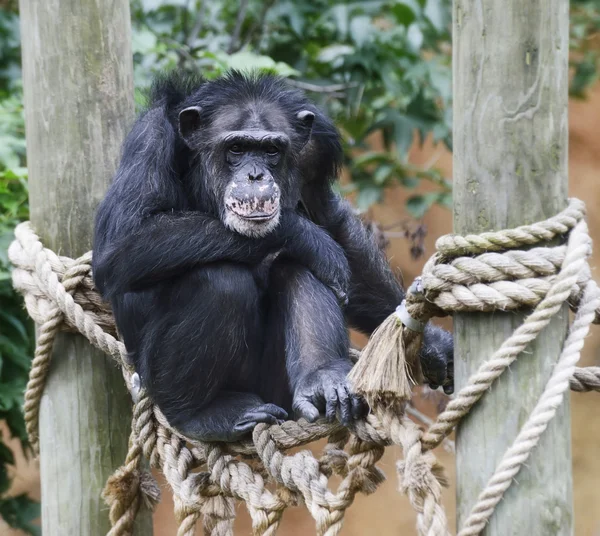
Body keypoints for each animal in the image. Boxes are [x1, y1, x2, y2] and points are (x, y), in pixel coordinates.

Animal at [91, 69, 452, 442]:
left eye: (271, 150)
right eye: (236, 147)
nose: (255, 175)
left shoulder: (316, 151)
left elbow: (331, 221)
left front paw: (431, 342)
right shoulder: (150, 140)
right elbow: (121, 245)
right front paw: (306, 236)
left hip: (276, 389)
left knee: (297, 267)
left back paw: (322, 380)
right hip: (157, 378)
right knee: (220, 280)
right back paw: (200, 413)